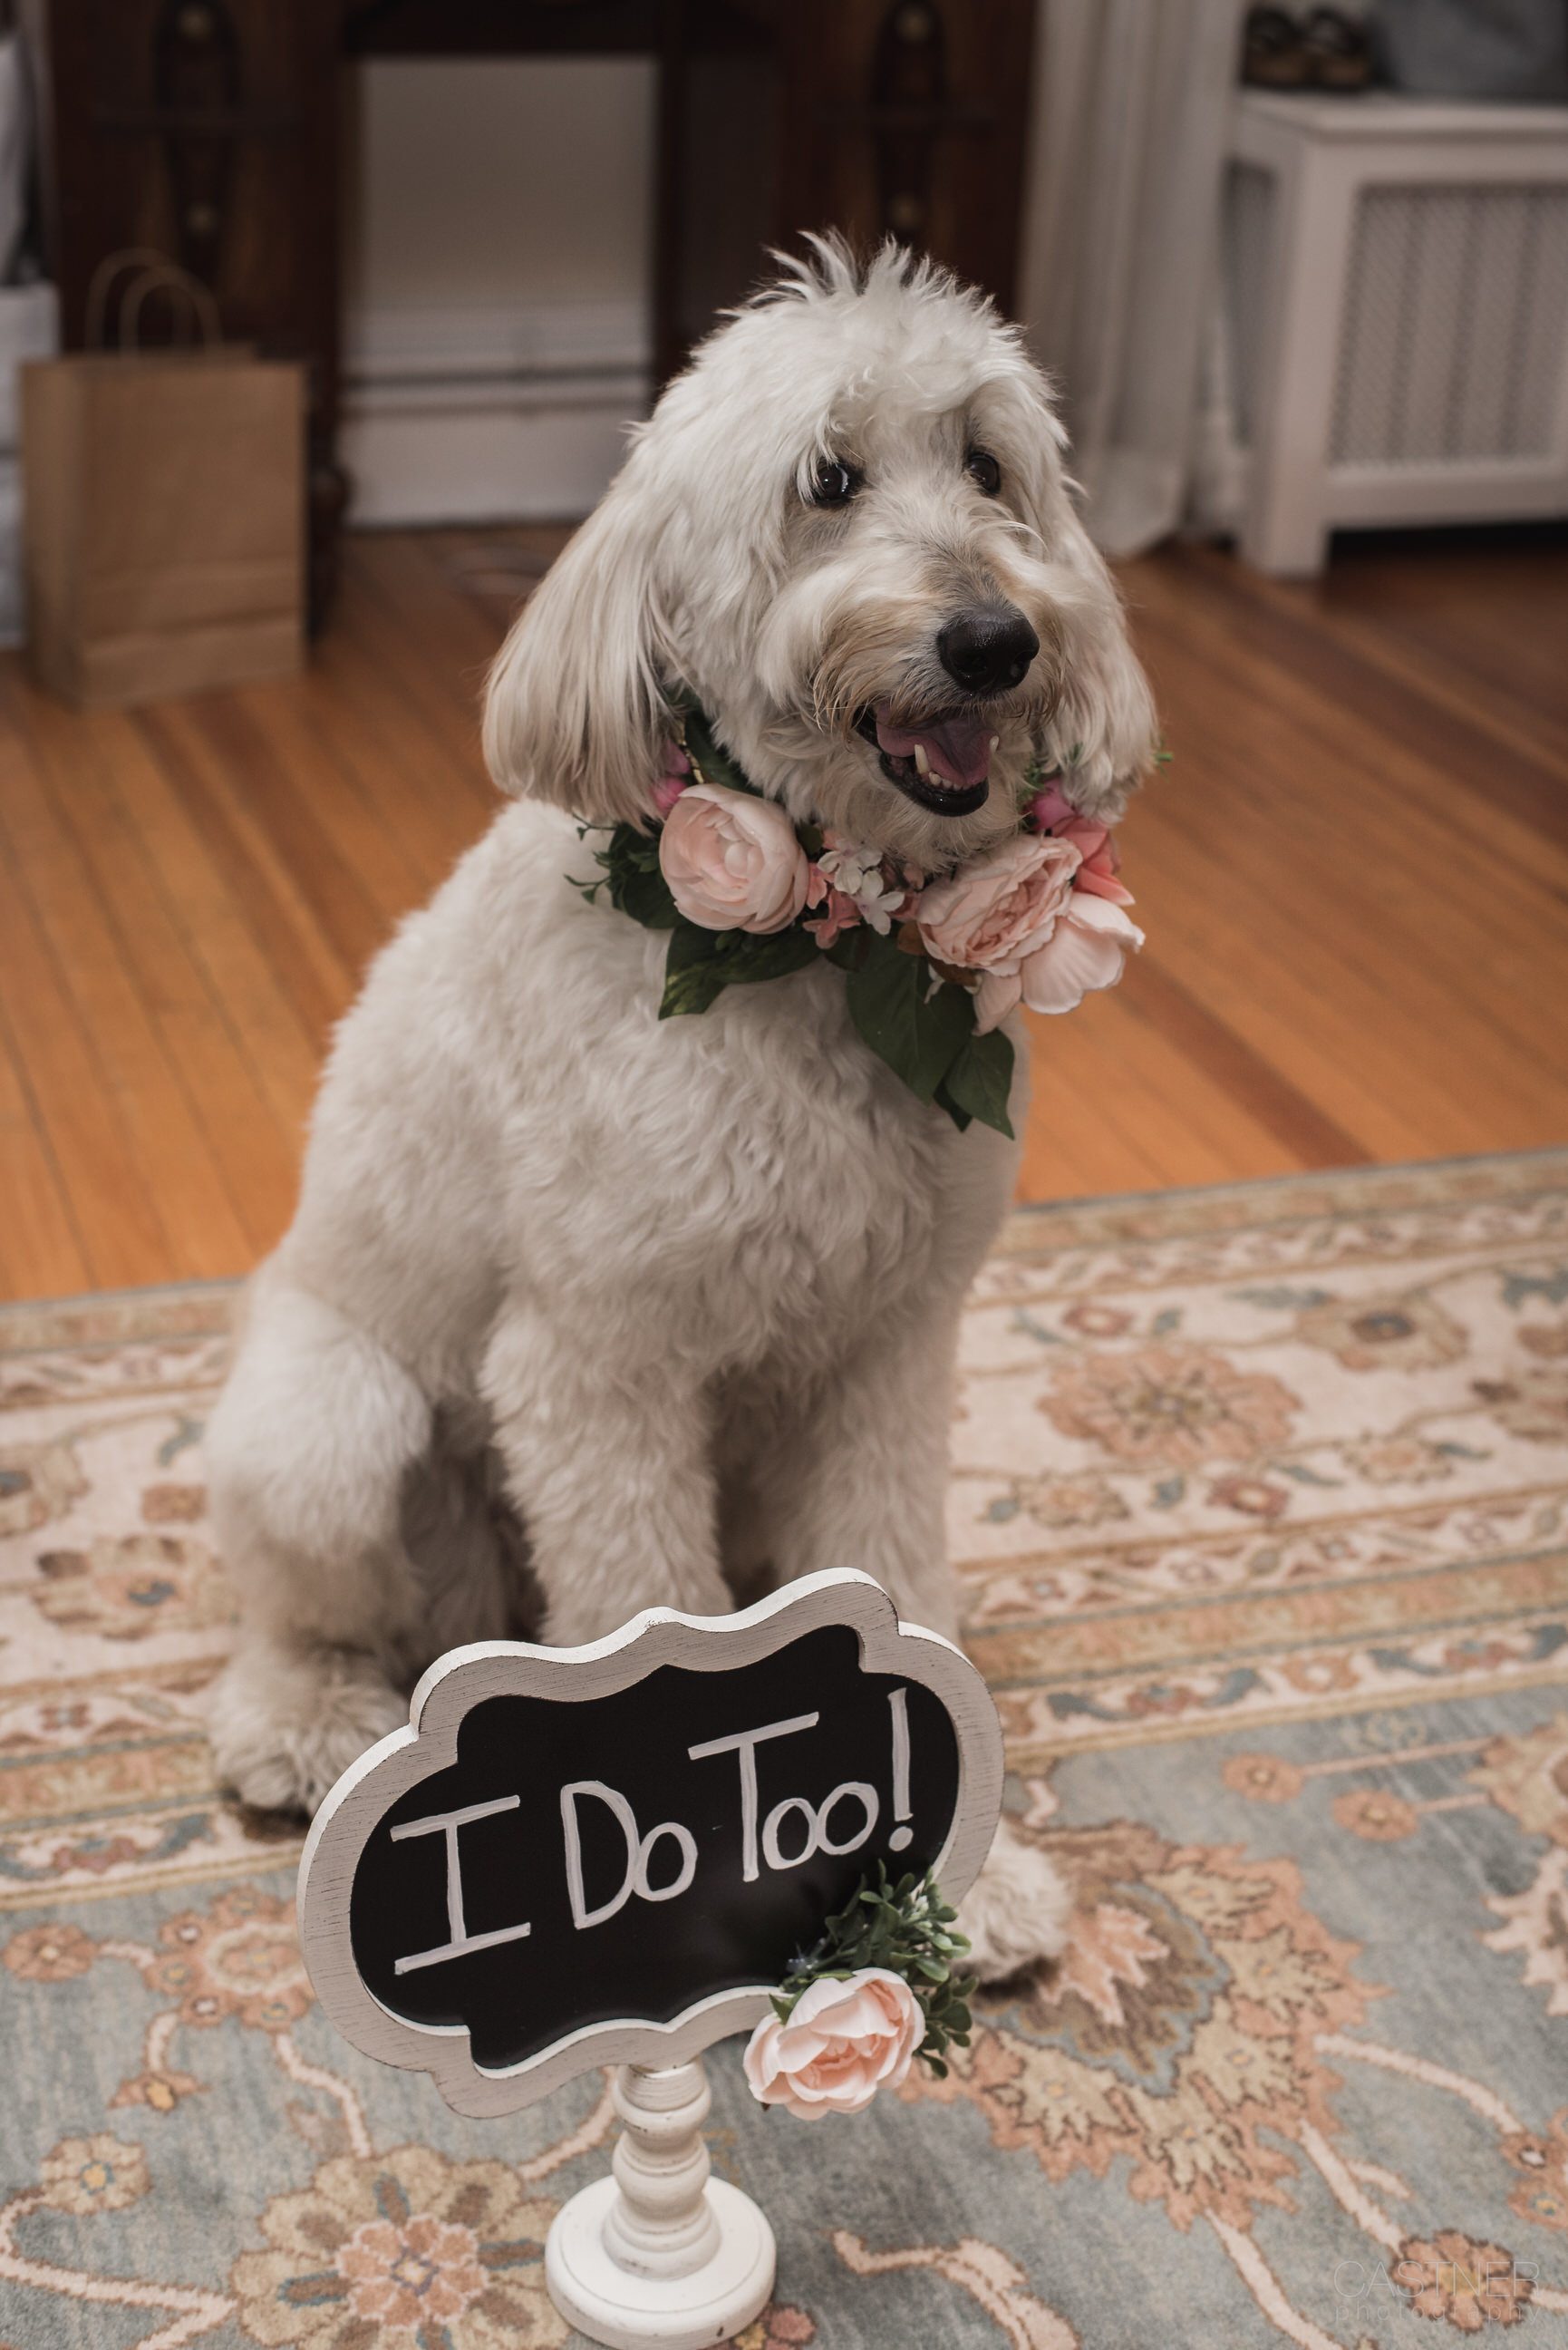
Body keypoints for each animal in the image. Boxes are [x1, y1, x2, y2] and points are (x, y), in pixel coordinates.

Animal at [202, 238, 1151, 1974]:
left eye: (988, 466)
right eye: (826, 480)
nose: (994, 638)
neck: (819, 969)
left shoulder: (888, 1354)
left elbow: (899, 1594)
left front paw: (952, 1878)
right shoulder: (597, 1371)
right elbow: (650, 1620)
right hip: (332, 1434)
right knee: (294, 1619)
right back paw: (302, 1727)